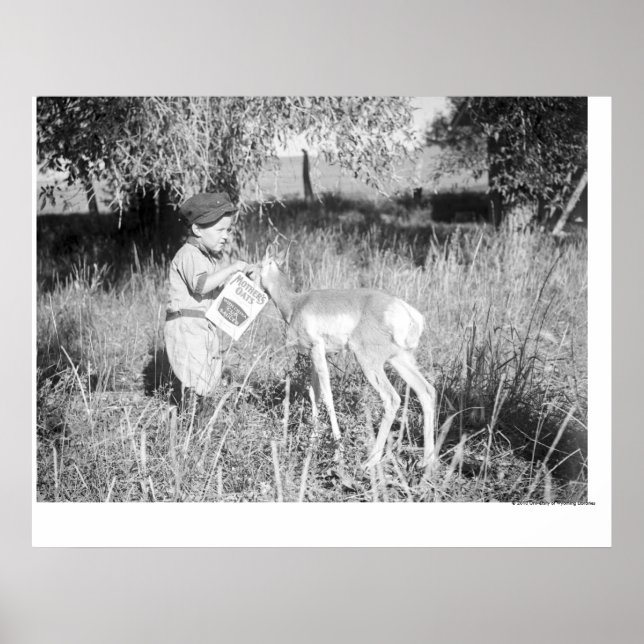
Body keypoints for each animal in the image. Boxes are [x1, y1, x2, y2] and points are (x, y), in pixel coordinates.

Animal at [258, 244, 437, 469]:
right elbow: (314, 393)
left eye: (255, 267)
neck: (295, 302)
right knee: (426, 391)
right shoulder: (315, 355)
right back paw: (427, 461)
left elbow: (327, 396)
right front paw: (312, 442)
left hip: (370, 363)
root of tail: (406, 311)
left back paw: (370, 461)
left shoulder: (317, 350)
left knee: (391, 398)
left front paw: (338, 451)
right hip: (400, 360)